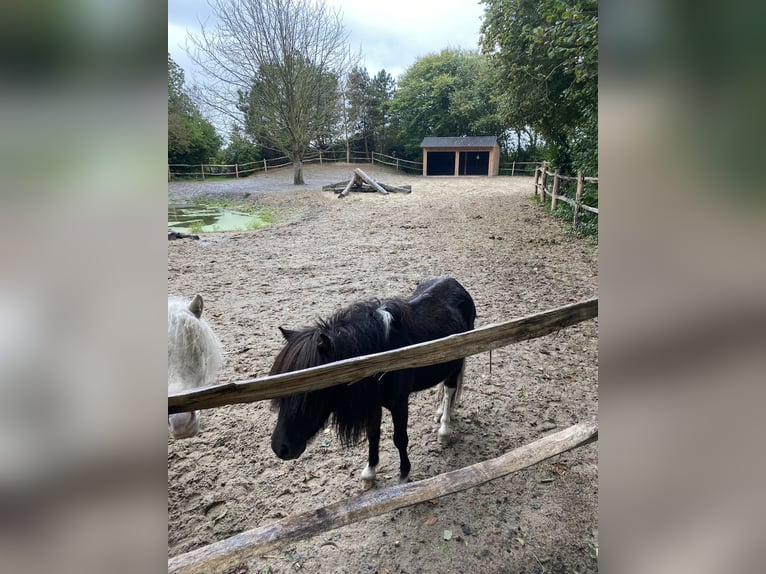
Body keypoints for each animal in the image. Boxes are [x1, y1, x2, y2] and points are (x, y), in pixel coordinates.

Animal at [270, 276, 474, 484]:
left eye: (311, 388)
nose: (280, 448)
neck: (379, 356)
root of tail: (454, 283)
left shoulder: (399, 403)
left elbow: (400, 438)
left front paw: (404, 474)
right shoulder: (372, 403)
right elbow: (373, 435)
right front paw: (370, 472)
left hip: (457, 362)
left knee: (449, 389)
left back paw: (444, 429)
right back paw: (440, 413)